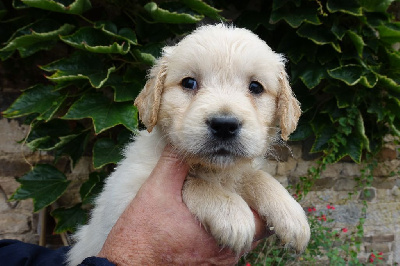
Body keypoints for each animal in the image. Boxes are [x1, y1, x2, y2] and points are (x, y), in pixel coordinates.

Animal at [66, 23, 310, 264]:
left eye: (256, 87)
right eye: (189, 83)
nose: (224, 125)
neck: (214, 171)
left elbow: (255, 176)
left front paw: (291, 214)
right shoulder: (125, 195)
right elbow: (192, 182)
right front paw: (232, 212)